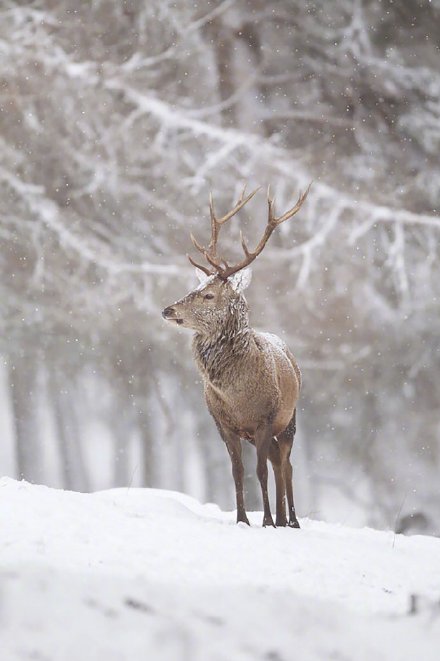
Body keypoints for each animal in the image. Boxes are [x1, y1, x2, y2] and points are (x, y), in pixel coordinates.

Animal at [163, 183, 312, 528]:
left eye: (208, 295)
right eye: (195, 287)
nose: (168, 310)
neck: (235, 396)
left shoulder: (265, 417)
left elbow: (259, 471)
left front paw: (266, 521)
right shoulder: (224, 423)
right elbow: (238, 470)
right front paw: (243, 519)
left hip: (290, 418)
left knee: (285, 463)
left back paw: (291, 520)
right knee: (276, 460)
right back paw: (282, 518)